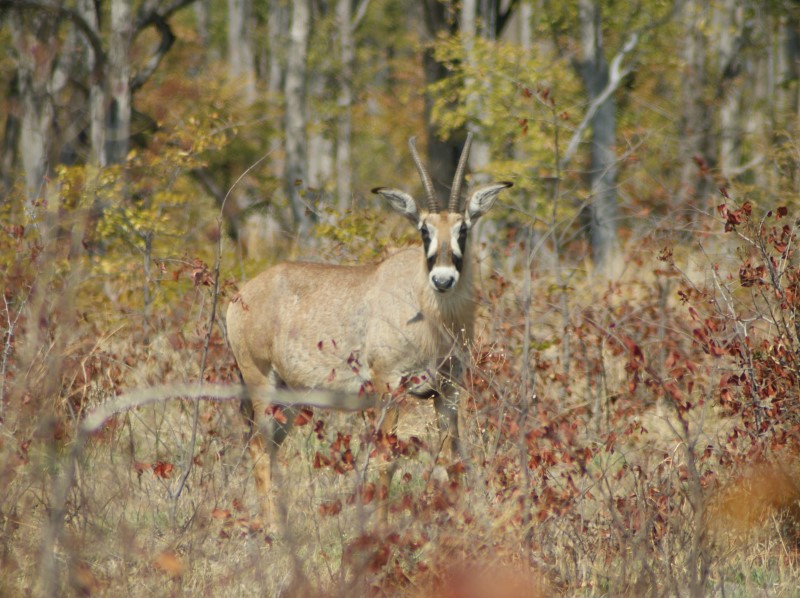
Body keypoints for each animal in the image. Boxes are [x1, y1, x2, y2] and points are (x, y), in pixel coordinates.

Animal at [225, 134, 512, 524]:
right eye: (423, 230)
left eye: (463, 229)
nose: (443, 279)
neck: (427, 307)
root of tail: (240, 297)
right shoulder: (388, 386)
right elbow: (386, 459)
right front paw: (381, 527)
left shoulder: (448, 390)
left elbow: (451, 457)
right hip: (261, 382)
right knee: (258, 447)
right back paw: (272, 527)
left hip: (288, 396)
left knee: (269, 448)